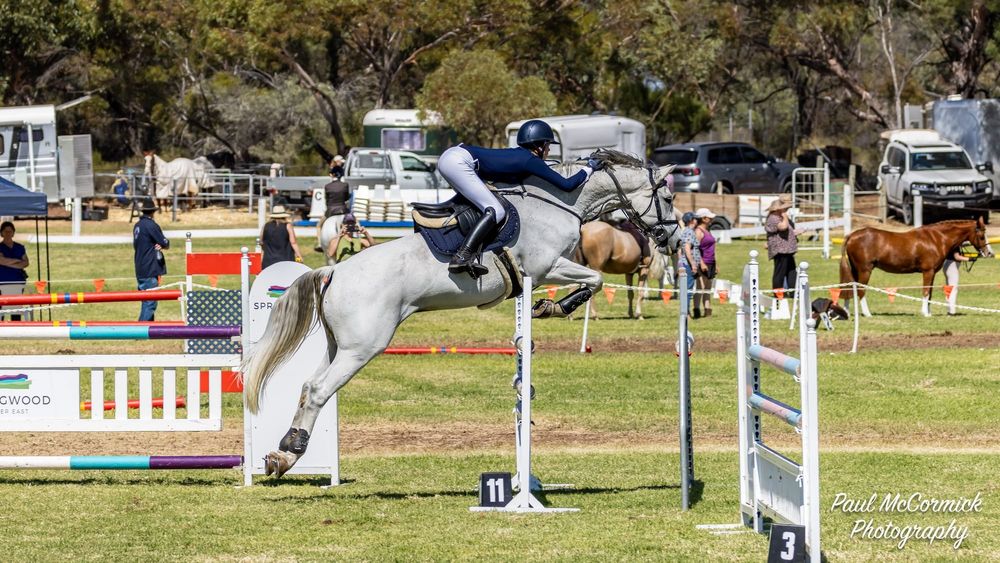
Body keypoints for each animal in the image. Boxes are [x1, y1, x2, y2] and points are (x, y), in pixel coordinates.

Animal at [241, 150, 680, 478]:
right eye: (670, 199)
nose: (672, 238)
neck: (562, 203)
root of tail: (333, 272)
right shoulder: (546, 267)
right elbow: (596, 279)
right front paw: (555, 306)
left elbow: (593, 281)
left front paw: (549, 306)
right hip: (362, 348)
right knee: (318, 390)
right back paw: (291, 452)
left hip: (339, 346)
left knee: (308, 386)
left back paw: (283, 454)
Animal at [839, 217, 993, 317]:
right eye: (982, 236)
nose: (989, 253)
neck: (937, 238)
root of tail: (852, 236)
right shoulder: (928, 271)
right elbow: (925, 291)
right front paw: (925, 313)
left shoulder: (933, 273)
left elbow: (930, 292)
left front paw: (928, 313)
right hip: (865, 270)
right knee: (861, 290)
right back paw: (867, 313)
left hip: (856, 269)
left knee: (851, 287)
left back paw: (847, 312)